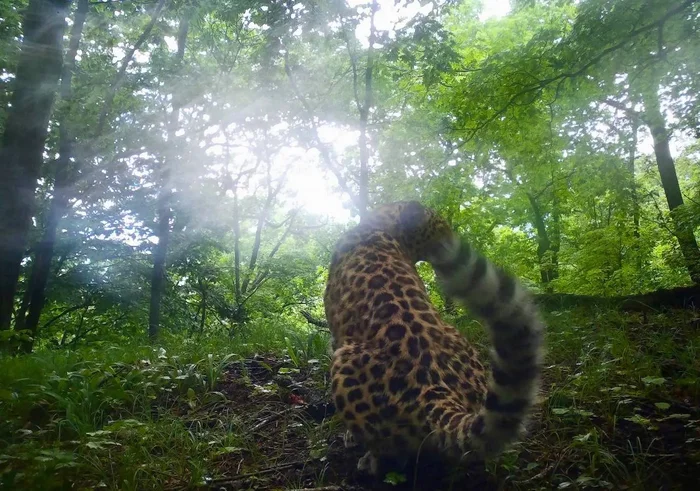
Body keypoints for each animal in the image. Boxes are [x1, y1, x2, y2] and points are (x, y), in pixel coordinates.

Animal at [325, 201, 544, 475]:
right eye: (441, 225)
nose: (453, 243)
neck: (382, 224)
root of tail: (436, 393)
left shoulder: (336, 336)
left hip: (343, 360)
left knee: (392, 455)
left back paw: (369, 460)